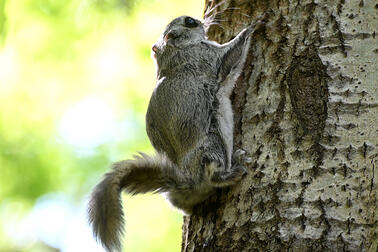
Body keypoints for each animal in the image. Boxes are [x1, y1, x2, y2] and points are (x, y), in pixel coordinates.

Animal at [87, 15, 264, 250]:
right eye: (189, 22)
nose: (204, 21)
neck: (174, 53)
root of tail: (186, 180)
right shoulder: (207, 58)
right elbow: (231, 54)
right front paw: (254, 25)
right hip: (211, 145)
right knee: (214, 174)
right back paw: (231, 170)